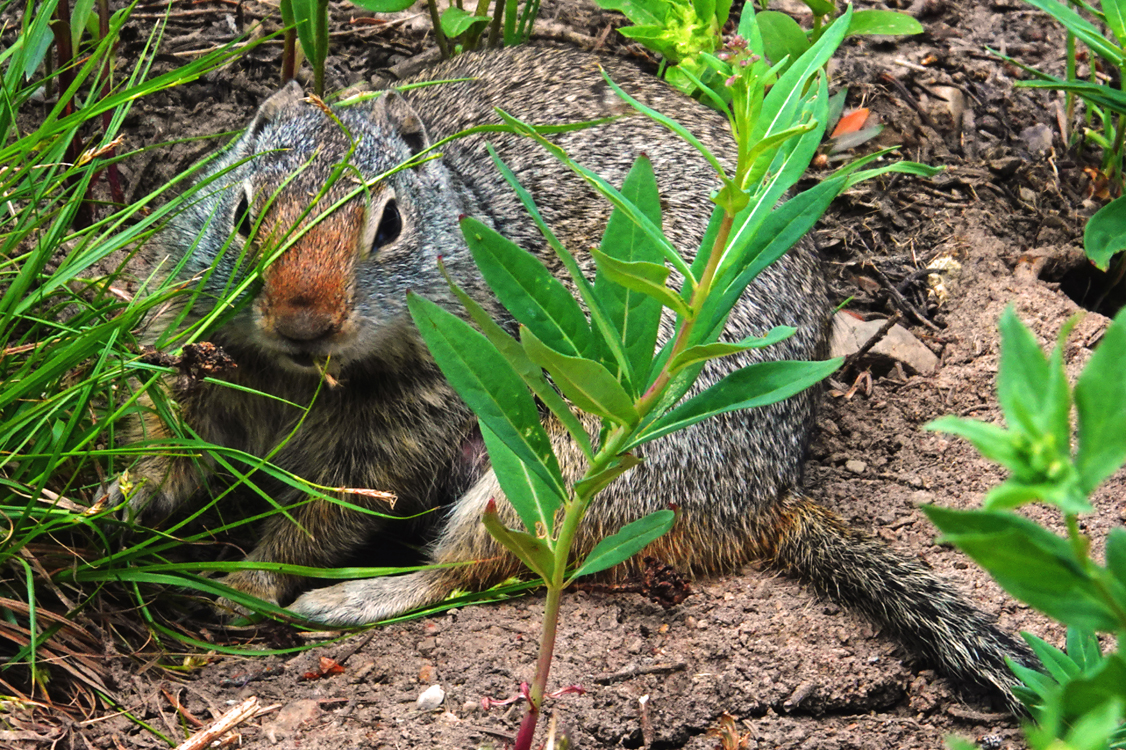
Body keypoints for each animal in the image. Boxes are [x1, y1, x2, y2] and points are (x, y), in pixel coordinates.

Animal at [118, 45, 1031, 702]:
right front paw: (128, 493)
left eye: (390, 223)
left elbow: (328, 512)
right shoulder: (183, 336)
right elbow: (166, 422)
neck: (302, 377)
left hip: (559, 468)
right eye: (240, 212)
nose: (303, 320)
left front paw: (248, 579)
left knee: (482, 565)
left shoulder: (407, 422)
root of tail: (767, 499)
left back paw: (353, 599)